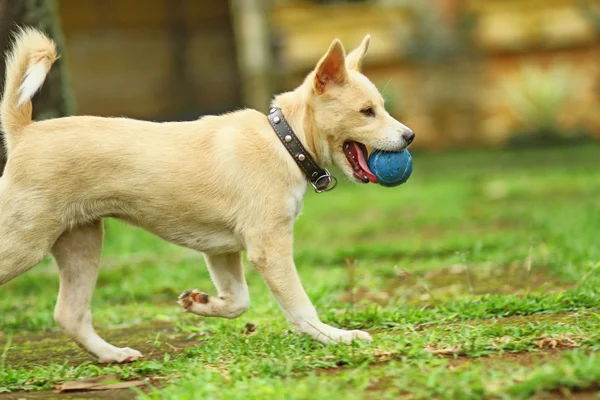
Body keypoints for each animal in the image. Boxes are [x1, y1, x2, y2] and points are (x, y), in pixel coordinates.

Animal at [0, 27, 412, 362]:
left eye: (381, 108)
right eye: (367, 112)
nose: (409, 136)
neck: (285, 140)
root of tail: (25, 133)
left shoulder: (221, 250)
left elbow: (238, 302)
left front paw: (201, 303)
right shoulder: (269, 247)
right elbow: (300, 308)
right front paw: (337, 338)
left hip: (81, 242)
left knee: (69, 314)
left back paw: (113, 355)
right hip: (25, 242)